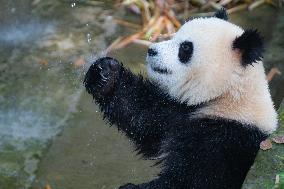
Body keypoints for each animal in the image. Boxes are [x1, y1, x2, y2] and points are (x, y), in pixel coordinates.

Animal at [84, 8, 278, 189]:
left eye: (185, 48)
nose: (151, 50)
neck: (226, 97)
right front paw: (105, 73)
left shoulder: (228, 141)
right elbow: (141, 114)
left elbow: (192, 180)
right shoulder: (177, 112)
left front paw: (130, 187)